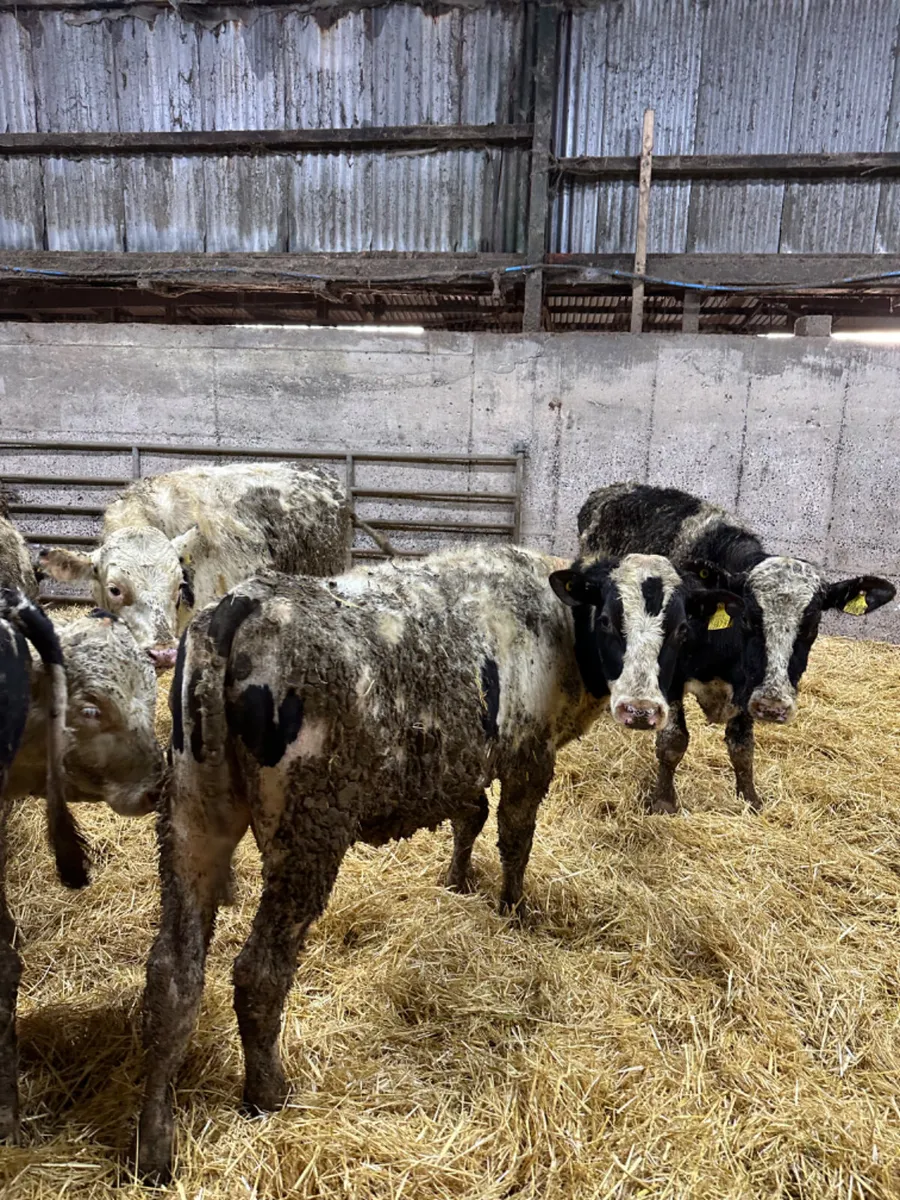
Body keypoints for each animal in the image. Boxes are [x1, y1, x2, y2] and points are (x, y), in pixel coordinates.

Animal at [136, 543, 737, 1180]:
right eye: (608, 620)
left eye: (681, 628)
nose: (643, 710)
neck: (552, 616)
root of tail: (242, 605)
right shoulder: (527, 757)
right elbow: (515, 838)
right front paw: (512, 909)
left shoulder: (462, 764)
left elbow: (468, 818)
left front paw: (457, 881)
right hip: (308, 831)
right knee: (258, 971)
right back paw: (268, 1092)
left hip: (191, 817)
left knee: (172, 976)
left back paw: (155, 1141)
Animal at [578, 483, 896, 813]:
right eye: (748, 617)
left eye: (812, 624)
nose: (773, 706)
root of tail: (612, 490)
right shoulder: (672, 678)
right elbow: (673, 741)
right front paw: (664, 802)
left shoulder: (748, 686)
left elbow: (742, 746)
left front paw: (750, 799)